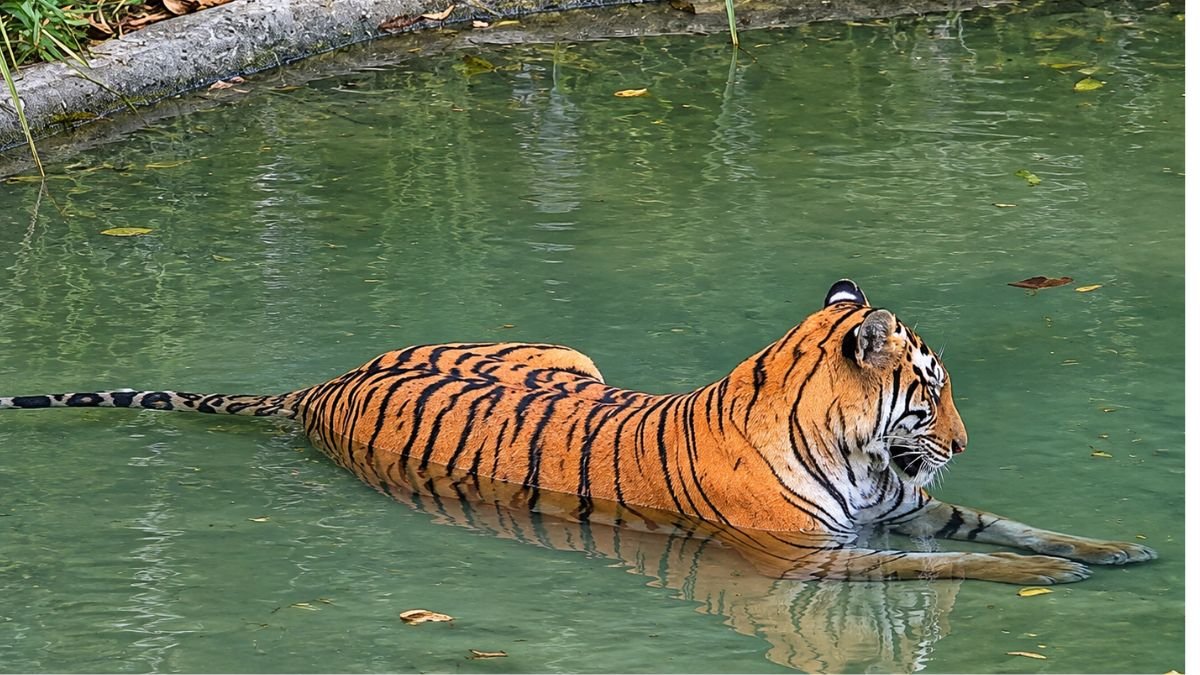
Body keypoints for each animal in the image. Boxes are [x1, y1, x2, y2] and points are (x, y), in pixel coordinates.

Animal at [0, 279, 1156, 583]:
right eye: (931, 388)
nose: (961, 440)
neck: (863, 456)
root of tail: (323, 385)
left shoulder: (903, 509)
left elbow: (1007, 526)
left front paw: (1113, 548)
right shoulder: (808, 557)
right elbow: (966, 564)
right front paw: (1055, 578)